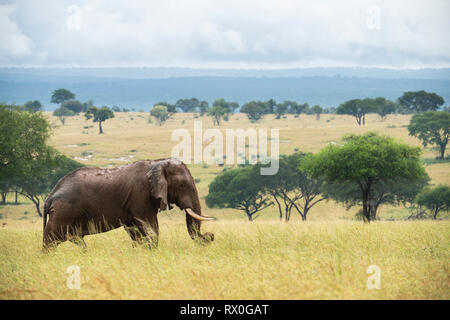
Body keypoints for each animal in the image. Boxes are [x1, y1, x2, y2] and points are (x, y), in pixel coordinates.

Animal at [42, 159, 216, 251]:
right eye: (183, 185)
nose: (210, 236)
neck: (157, 163)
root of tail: (50, 196)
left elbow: (135, 231)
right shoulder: (141, 195)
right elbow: (150, 227)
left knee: (76, 241)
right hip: (62, 212)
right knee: (50, 239)